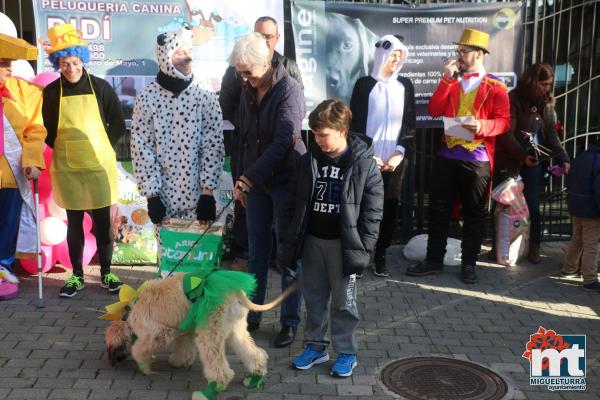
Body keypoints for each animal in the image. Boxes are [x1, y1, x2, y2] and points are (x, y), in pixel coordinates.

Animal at [105, 274, 298, 398]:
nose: (114, 362)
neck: (129, 317)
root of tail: (232, 288)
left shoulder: (160, 332)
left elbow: (141, 348)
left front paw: (144, 365)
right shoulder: (184, 331)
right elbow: (183, 347)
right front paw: (178, 361)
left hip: (210, 333)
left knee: (221, 370)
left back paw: (209, 391)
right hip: (235, 329)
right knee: (253, 354)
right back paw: (254, 377)